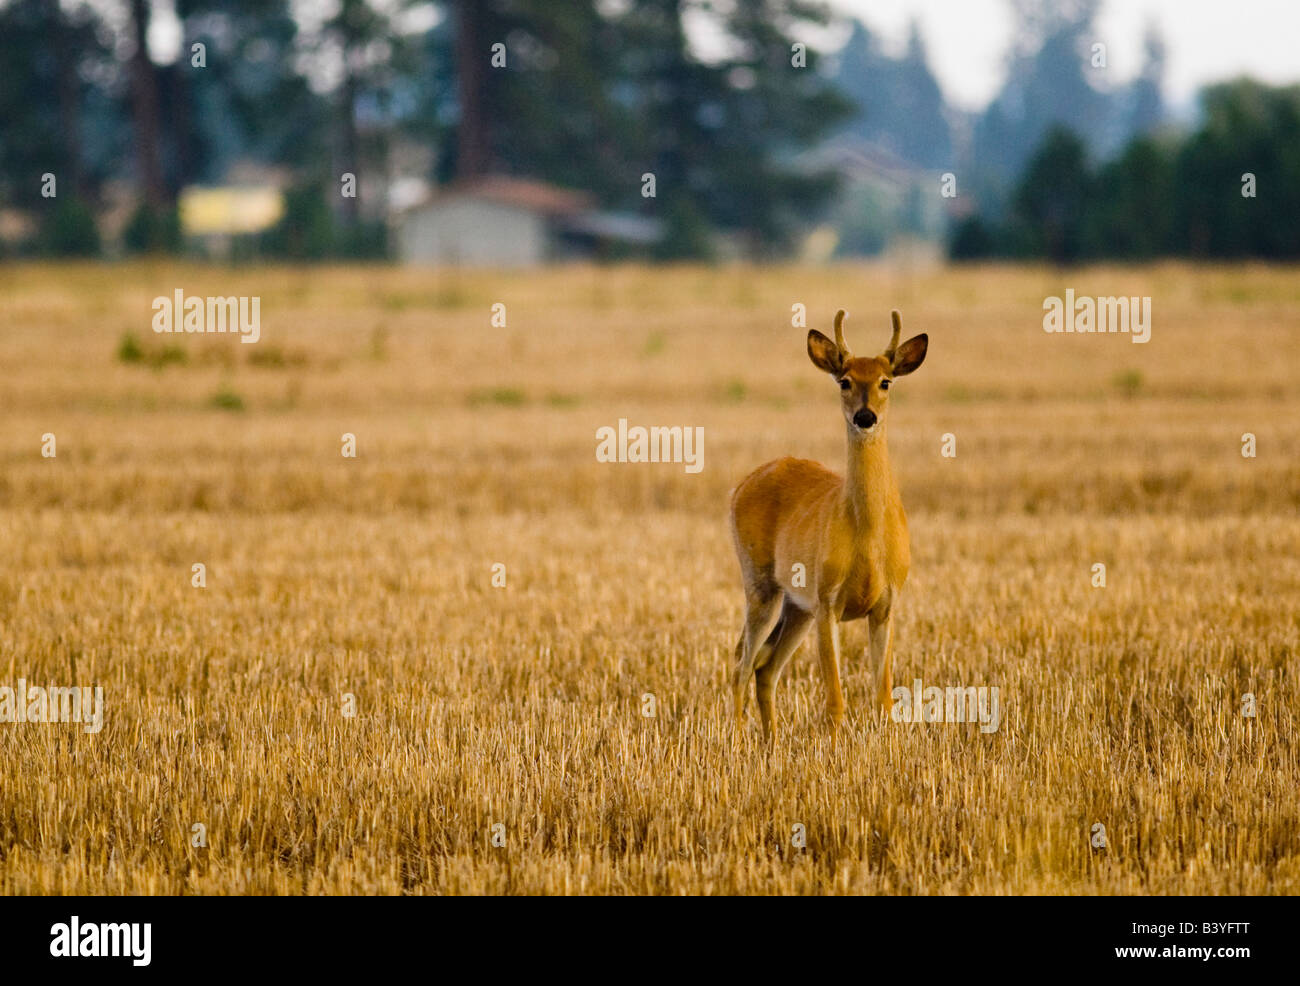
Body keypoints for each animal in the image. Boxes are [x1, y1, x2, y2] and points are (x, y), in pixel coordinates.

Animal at [733, 309, 925, 738]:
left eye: (885, 381)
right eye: (845, 380)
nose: (865, 416)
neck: (867, 537)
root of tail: (741, 484)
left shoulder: (887, 603)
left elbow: (884, 699)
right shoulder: (827, 600)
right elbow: (835, 703)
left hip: (796, 606)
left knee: (765, 668)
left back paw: (771, 743)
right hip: (761, 584)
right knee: (741, 663)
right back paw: (735, 742)